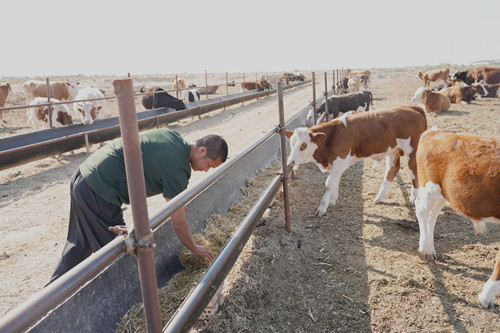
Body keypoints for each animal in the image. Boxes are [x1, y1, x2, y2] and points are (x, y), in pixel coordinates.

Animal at [286, 105, 426, 215]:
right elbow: (335, 181)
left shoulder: (339, 161)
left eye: (303, 145)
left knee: (414, 172)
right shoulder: (337, 164)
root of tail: (412, 108)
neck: (333, 135)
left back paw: (414, 198)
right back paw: (379, 198)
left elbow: (329, 184)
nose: (290, 162)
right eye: (291, 144)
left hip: (412, 151)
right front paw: (332, 200)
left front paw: (322, 207)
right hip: (393, 150)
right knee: (392, 170)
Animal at [416, 127, 500, 306]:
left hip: (445, 192)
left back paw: (430, 249)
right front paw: (486, 297)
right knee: (422, 210)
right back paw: (425, 249)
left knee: (433, 215)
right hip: (429, 186)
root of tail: (436, 132)